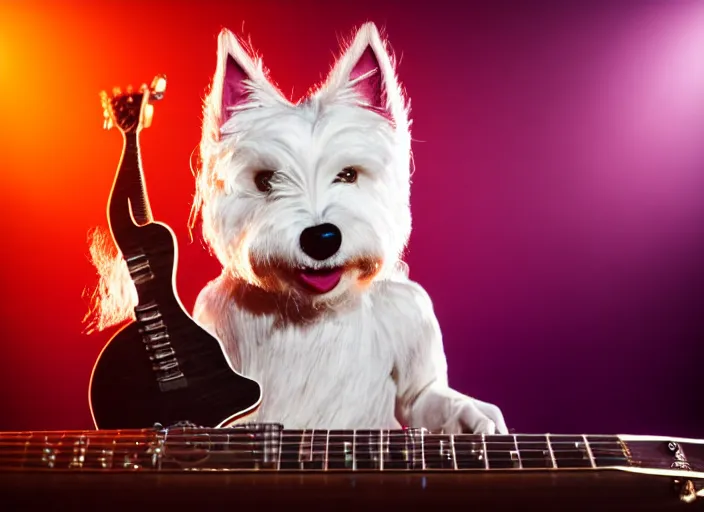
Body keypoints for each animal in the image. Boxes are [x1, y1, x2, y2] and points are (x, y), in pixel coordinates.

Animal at [187, 22, 506, 434]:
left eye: (348, 174)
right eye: (265, 180)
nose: (321, 238)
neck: (313, 313)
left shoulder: (413, 324)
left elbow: (427, 396)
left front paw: (473, 418)